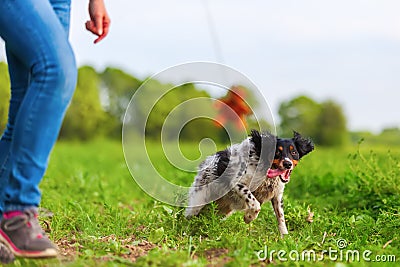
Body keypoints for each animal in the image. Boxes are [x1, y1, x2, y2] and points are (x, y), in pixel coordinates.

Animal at [186, 130, 314, 237]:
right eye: (277, 152)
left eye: (294, 152)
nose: (288, 164)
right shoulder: (236, 183)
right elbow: (254, 203)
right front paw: (249, 217)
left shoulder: (277, 195)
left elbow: (281, 216)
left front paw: (285, 237)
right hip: (198, 201)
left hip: (222, 210)